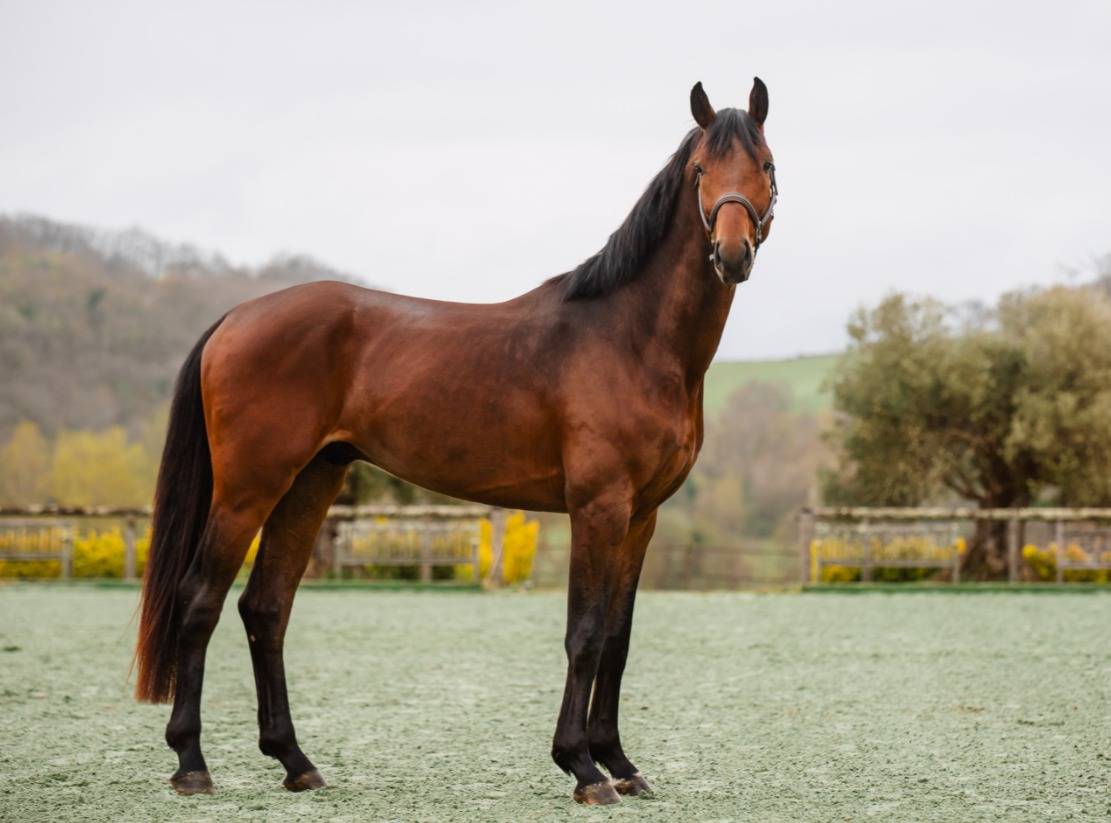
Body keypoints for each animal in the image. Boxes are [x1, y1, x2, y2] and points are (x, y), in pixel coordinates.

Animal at [135, 77, 778, 806]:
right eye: (700, 170)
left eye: (765, 165)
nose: (731, 254)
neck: (632, 337)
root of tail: (236, 317)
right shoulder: (598, 507)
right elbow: (584, 635)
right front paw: (582, 767)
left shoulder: (641, 515)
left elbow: (617, 637)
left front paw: (619, 761)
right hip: (248, 488)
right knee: (200, 601)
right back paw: (191, 762)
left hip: (310, 481)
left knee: (265, 607)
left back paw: (295, 760)